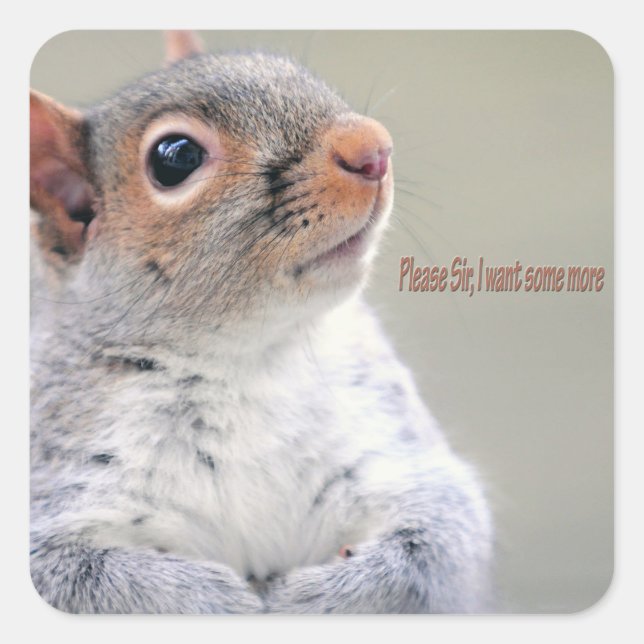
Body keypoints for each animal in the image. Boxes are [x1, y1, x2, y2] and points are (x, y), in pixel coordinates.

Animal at [30, 30, 493, 613]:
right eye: (175, 157)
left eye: (289, 68)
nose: (373, 148)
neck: (245, 358)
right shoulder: (57, 487)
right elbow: (79, 580)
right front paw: (215, 602)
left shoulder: (394, 450)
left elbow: (439, 541)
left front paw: (315, 601)